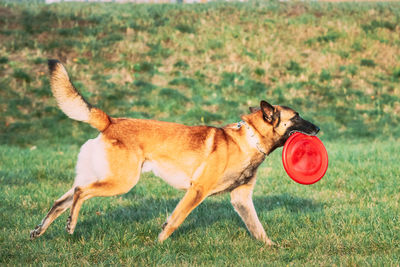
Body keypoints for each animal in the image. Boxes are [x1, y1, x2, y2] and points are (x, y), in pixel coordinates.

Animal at [29, 59, 320, 246]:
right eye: (297, 117)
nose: (318, 128)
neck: (248, 140)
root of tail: (110, 121)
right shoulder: (197, 191)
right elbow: (176, 219)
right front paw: (158, 244)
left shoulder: (241, 199)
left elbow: (258, 229)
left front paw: (272, 247)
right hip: (122, 182)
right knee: (80, 193)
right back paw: (71, 225)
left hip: (102, 177)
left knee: (61, 200)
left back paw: (41, 230)